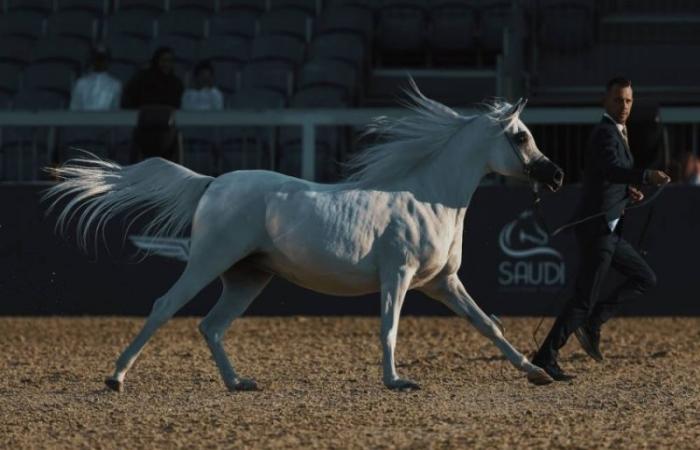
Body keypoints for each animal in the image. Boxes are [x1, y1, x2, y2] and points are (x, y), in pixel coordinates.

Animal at [45, 82, 564, 392]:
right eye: (521, 136)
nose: (556, 176)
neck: (430, 197)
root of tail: (212, 183)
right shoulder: (398, 276)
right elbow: (389, 328)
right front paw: (396, 382)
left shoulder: (442, 283)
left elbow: (489, 325)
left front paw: (536, 372)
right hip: (208, 263)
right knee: (164, 308)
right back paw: (116, 378)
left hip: (248, 278)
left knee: (211, 326)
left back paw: (238, 383)